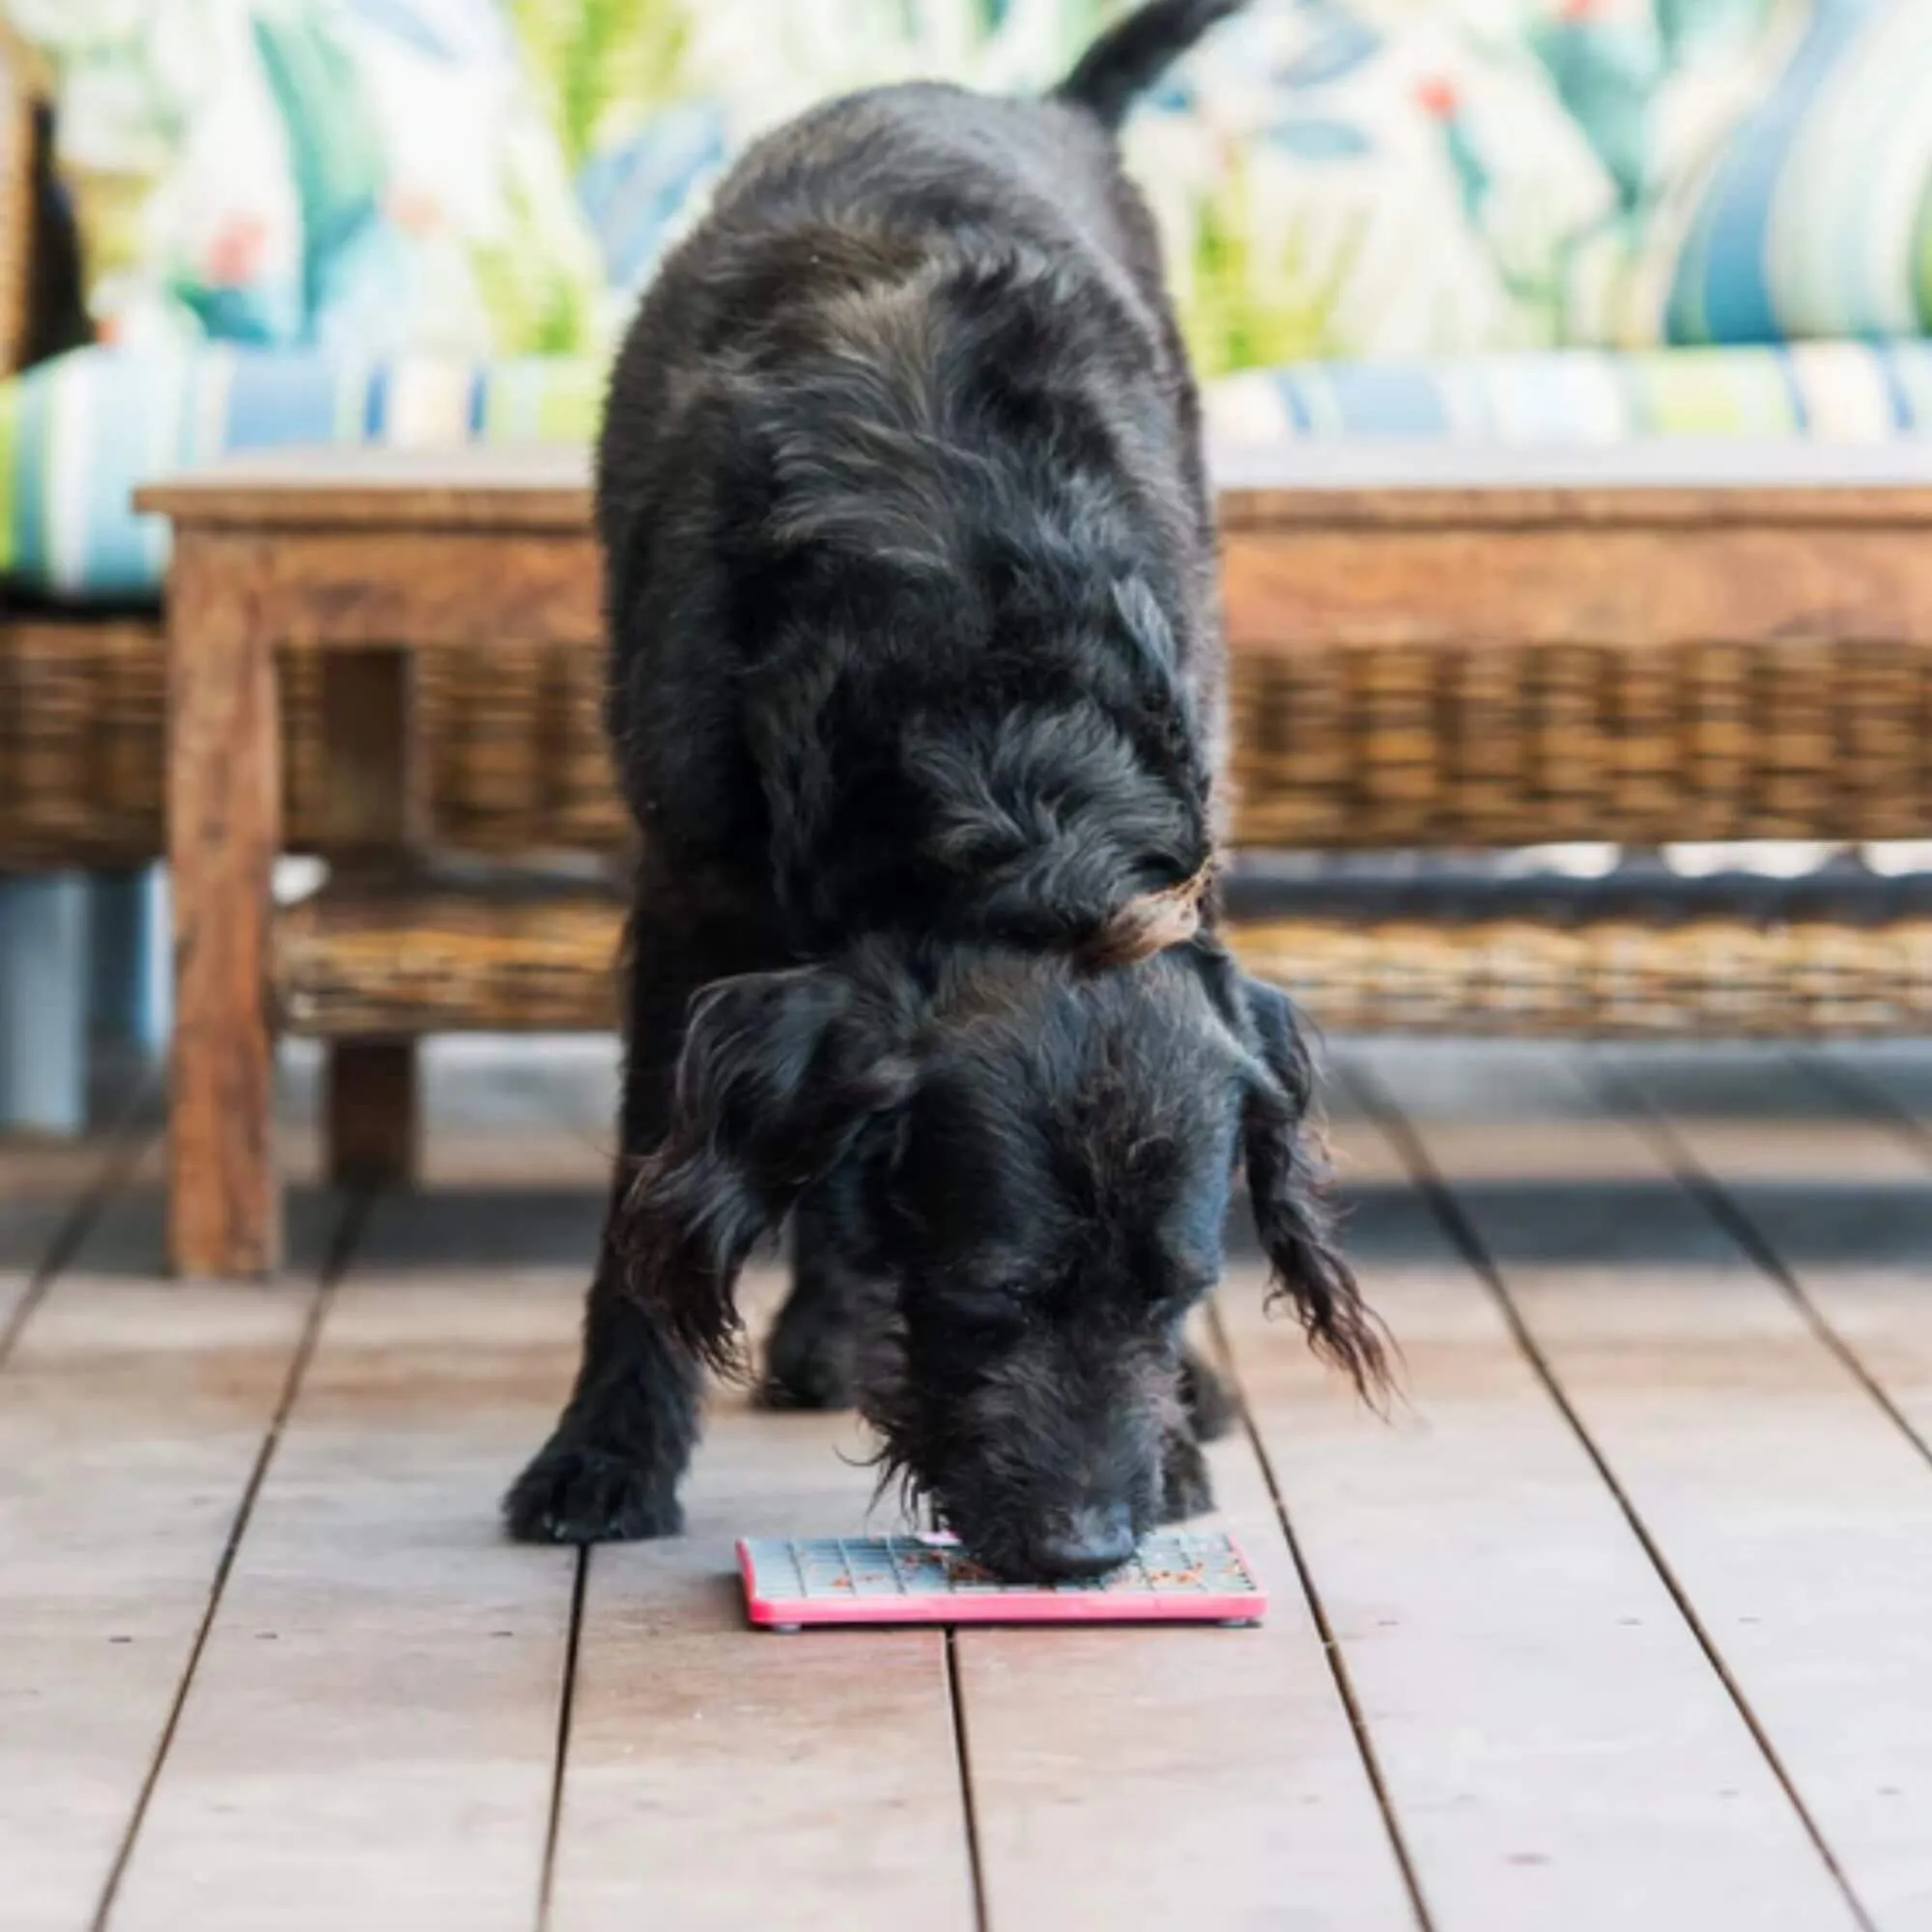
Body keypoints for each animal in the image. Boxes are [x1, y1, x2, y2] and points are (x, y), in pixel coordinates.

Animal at [514, 0, 1391, 1577]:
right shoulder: (688, 905)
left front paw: (1182, 1421)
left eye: (1173, 1289)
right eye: (993, 1293)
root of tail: (1035, 102)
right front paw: (606, 1450)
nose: (1089, 1546)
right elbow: (650, 1196)